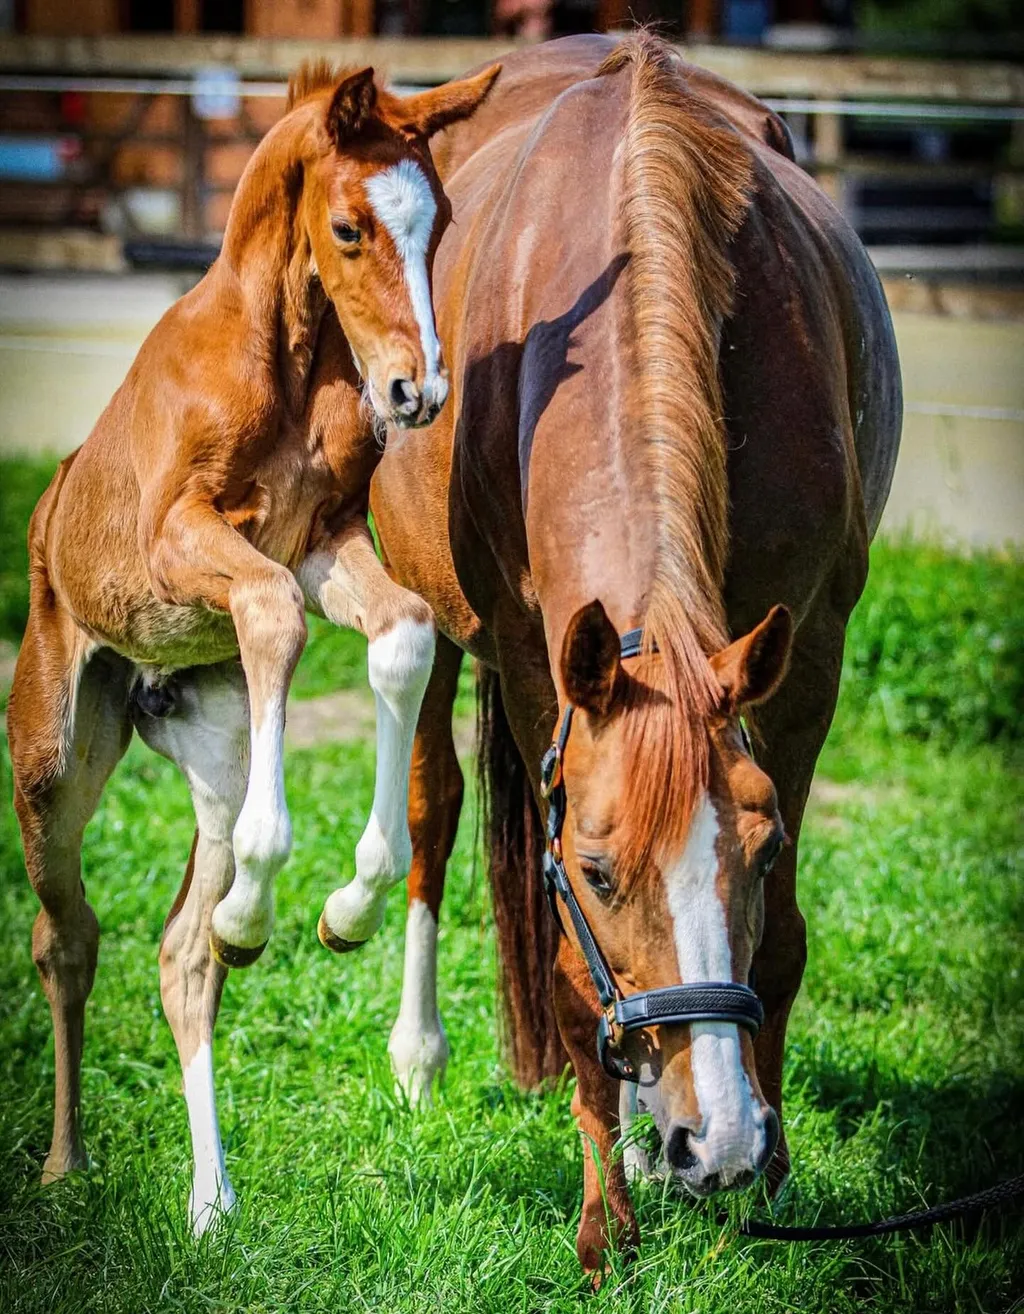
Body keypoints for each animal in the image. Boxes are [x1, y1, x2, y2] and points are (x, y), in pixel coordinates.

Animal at [7, 58, 498, 1235]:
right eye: (349, 228)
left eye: (440, 221)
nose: (419, 393)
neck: (280, 363)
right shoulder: (183, 539)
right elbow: (273, 613)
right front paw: (288, 887)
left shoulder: (323, 539)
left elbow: (402, 634)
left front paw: (344, 908)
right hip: (53, 756)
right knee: (67, 938)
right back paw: (65, 1164)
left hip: (216, 738)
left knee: (184, 957)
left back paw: (209, 1198)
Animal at [369, 33, 902, 1271]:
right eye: (601, 873)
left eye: (758, 851)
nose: (716, 1142)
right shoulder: (530, 658)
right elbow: (571, 976)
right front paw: (604, 1221)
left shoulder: (805, 652)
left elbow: (783, 938)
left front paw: (769, 1170)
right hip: (431, 615)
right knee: (430, 801)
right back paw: (423, 1055)